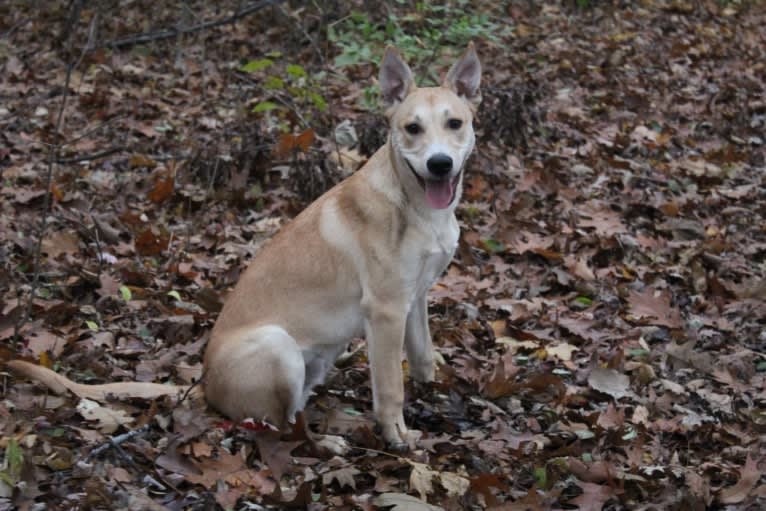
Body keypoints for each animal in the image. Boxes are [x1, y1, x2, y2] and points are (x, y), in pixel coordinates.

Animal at [9, 44, 484, 452]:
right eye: (412, 129)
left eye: (455, 124)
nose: (439, 164)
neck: (417, 206)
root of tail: (202, 382)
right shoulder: (385, 311)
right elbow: (390, 388)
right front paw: (396, 435)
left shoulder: (414, 297)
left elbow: (422, 356)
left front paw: (434, 387)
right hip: (278, 347)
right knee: (277, 427)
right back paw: (323, 444)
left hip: (313, 361)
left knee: (289, 413)